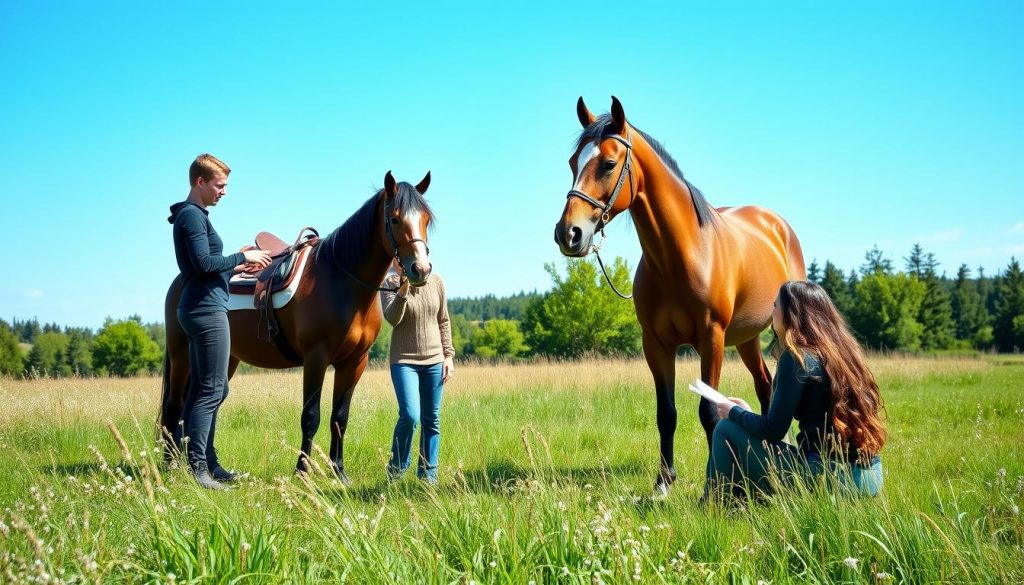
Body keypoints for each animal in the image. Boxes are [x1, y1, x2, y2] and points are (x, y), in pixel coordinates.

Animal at [161, 172, 434, 483]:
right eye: (395, 219)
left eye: (426, 218)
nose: (421, 269)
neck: (342, 280)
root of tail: (179, 282)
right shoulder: (316, 358)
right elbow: (311, 416)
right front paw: (303, 471)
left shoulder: (355, 361)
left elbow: (340, 417)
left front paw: (339, 471)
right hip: (181, 355)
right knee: (175, 405)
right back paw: (171, 466)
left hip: (225, 358)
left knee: (204, 405)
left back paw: (212, 468)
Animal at [557, 98, 802, 495]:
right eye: (572, 163)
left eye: (608, 163)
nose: (568, 233)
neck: (679, 256)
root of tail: (776, 224)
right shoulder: (656, 344)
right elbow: (666, 413)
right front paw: (664, 481)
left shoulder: (711, 339)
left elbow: (708, 411)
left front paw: (716, 479)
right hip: (747, 337)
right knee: (765, 386)